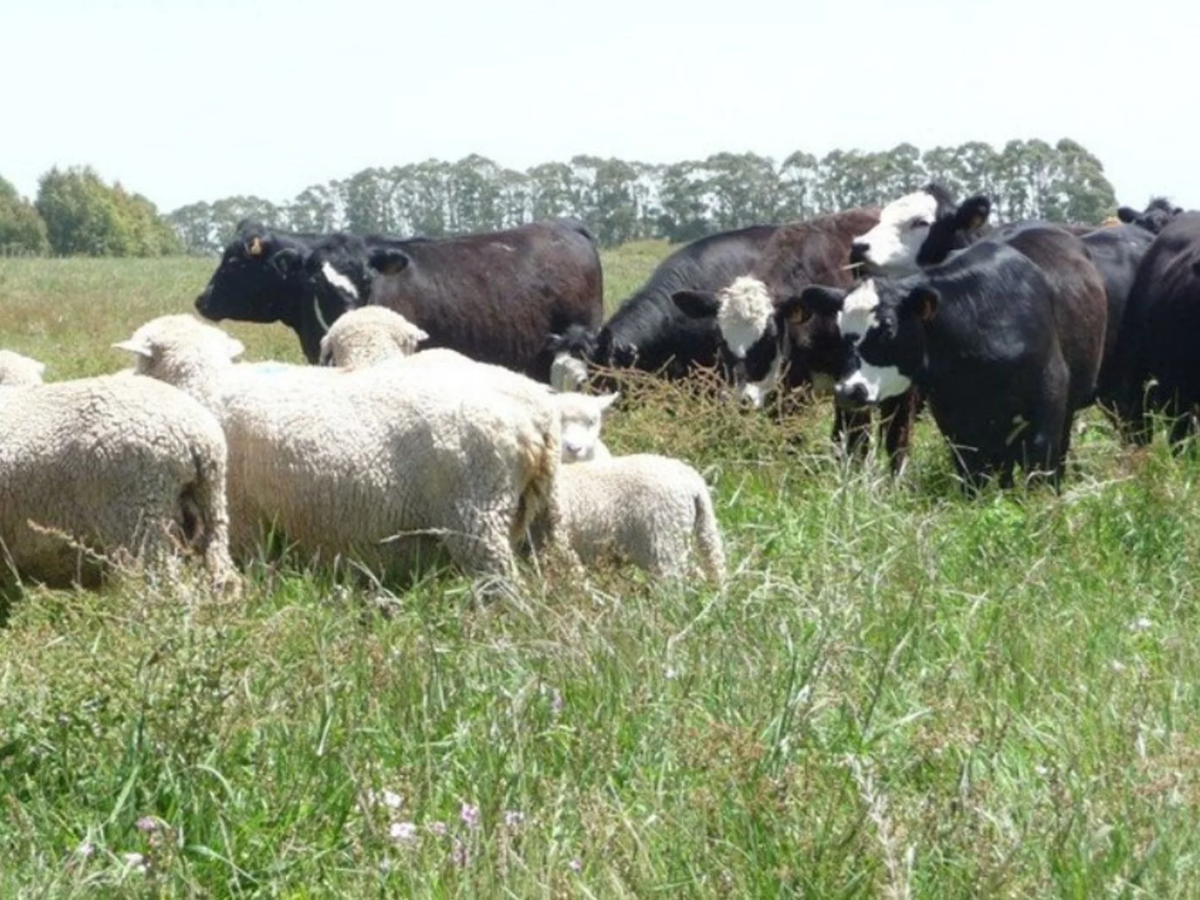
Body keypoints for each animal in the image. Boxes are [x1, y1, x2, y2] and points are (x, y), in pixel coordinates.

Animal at [114, 314, 575, 585]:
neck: (205, 384)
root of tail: (536, 411)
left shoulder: (243, 517)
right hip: (546, 510)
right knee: (559, 561)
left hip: (477, 512)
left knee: (502, 584)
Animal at [798, 238, 1104, 489]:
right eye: (840, 331)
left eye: (887, 328)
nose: (848, 391)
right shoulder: (955, 421)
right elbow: (973, 475)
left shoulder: (1047, 405)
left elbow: (1042, 467)